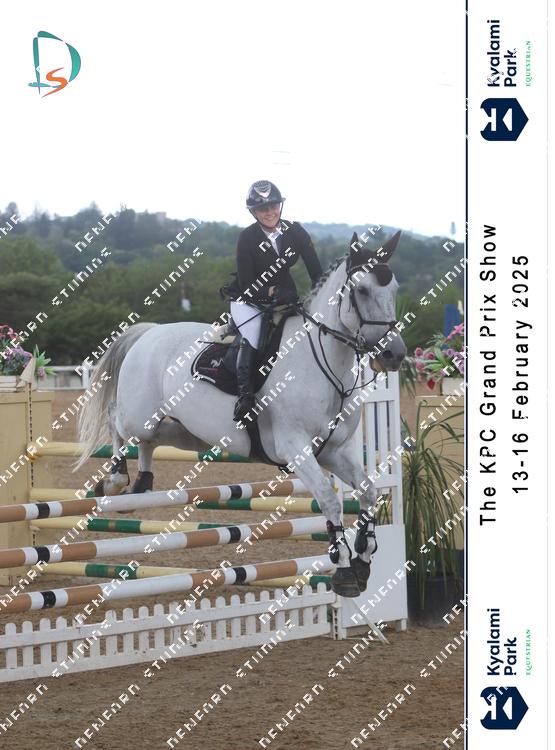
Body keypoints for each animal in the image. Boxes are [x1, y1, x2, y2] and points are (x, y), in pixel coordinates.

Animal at [76, 231, 406, 597]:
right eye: (362, 290)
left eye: (394, 289)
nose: (394, 354)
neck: (321, 363)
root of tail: (148, 332)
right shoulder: (295, 449)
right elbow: (330, 501)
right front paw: (346, 570)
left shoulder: (334, 451)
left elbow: (369, 492)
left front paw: (364, 558)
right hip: (140, 416)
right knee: (117, 421)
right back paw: (115, 480)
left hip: (186, 433)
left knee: (151, 440)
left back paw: (141, 484)